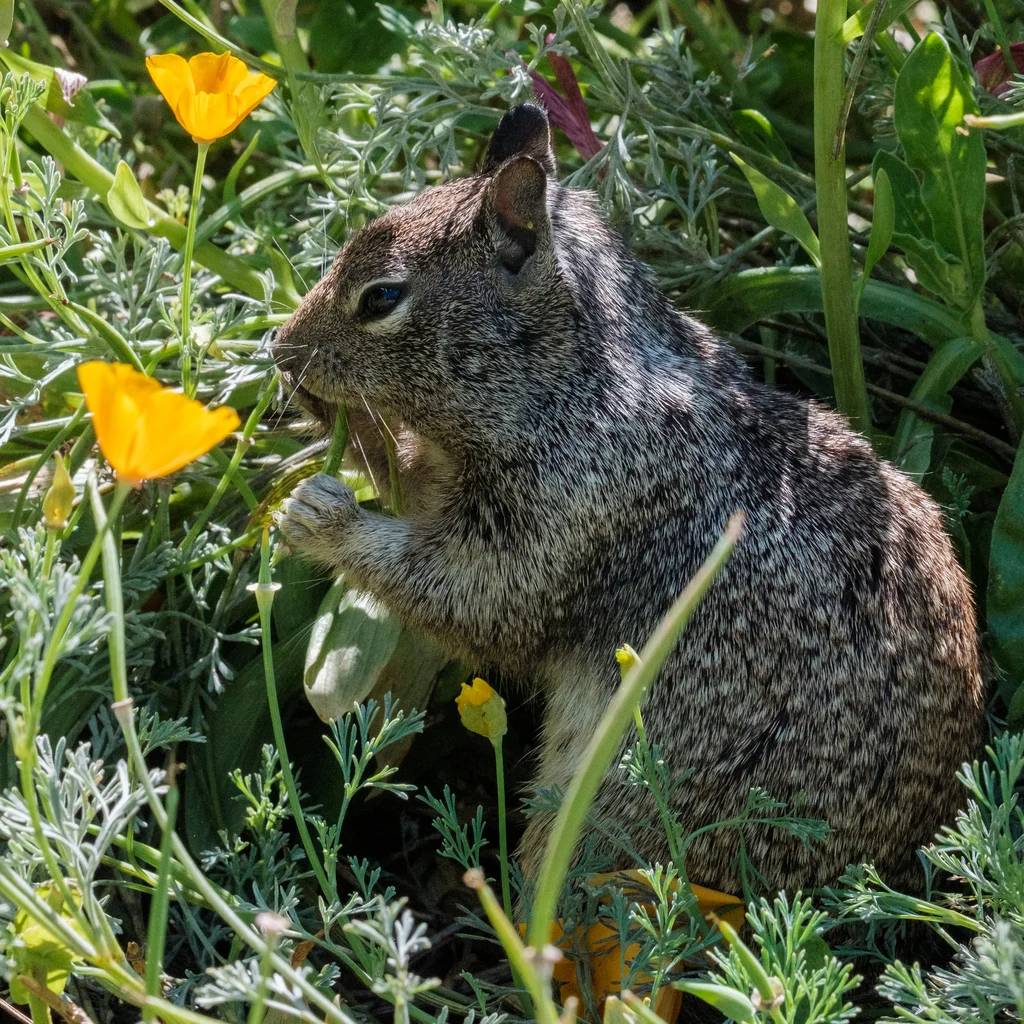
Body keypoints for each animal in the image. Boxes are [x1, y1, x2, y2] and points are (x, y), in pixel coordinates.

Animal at [273, 103, 985, 896]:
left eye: (383, 297)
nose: (280, 351)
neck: (572, 382)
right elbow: (411, 485)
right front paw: (338, 437)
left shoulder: (553, 526)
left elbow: (465, 599)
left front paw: (319, 514)